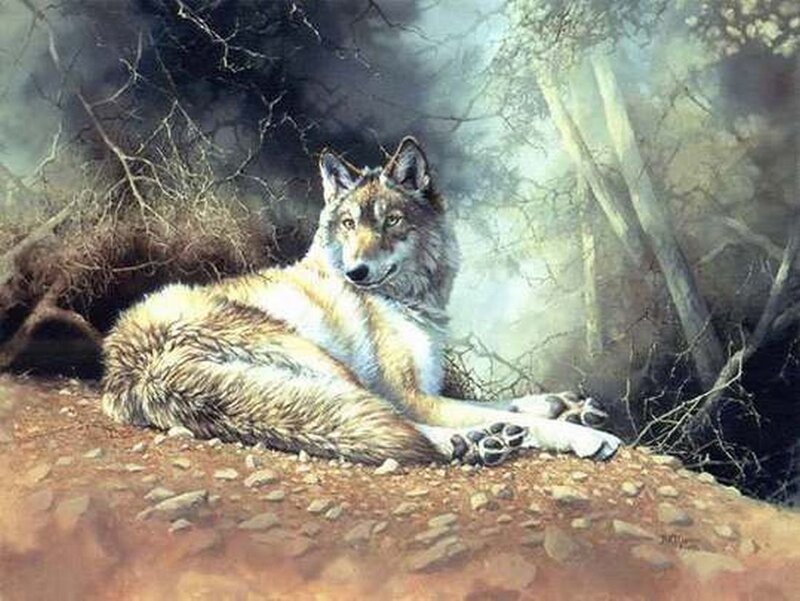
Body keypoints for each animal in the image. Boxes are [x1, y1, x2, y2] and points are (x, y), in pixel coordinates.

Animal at [101, 137, 621, 466]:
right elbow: (494, 412)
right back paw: (470, 444)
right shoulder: (412, 395)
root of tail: (133, 363)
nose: (356, 273)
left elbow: (509, 404)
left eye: (391, 221)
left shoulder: (428, 387)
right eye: (349, 224)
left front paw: (564, 405)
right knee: (394, 422)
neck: (405, 303)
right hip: (326, 362)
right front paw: (586, 434)